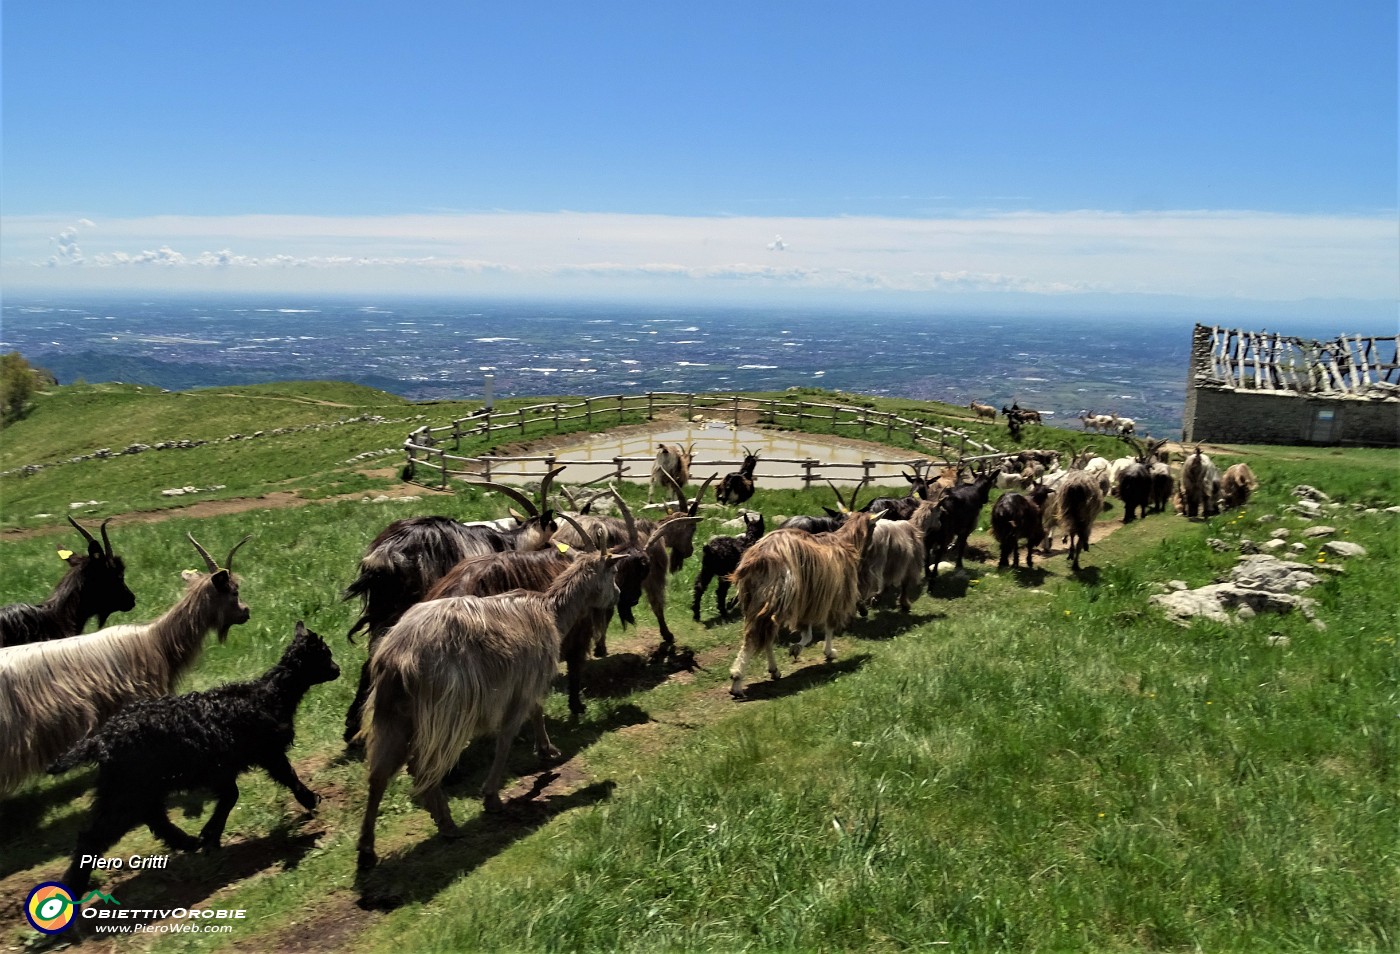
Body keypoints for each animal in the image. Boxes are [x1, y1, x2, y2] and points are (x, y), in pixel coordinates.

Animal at [51, 621, 338, 902]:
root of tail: (102, 738)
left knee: (153, 818)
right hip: (127, 790)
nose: (338, 669)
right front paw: (310, 799)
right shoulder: (265, 753)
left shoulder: (222, 768)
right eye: (326, 655)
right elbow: (284, 777)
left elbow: (230, 797)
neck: (268, 696)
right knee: (94, 836)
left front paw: (210, 836)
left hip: (132, 787)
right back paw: (73, 885)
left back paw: (187, 842)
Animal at [352, 532, 621, 868]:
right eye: (613, 571)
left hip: (391, 712)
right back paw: (446, 822)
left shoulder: (524, 682)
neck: (549, 611)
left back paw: (367, 849)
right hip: (444, 711)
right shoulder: (522, 682)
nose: (618, 595)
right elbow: (507, 738)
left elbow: (536, 711)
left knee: (378, 775)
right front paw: (492, 796)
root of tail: (397, 658)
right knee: (421, 765)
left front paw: (547, 751)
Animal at [728, 509, 879, 694]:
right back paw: (737, 681)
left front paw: (798, 648)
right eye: (874, 526)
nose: (872, 550)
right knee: (755, 637)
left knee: (765, 635)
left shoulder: (809, 600)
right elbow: (824, 628)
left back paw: (773, 670)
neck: (844, 542)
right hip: (776, 597)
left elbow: (809, 632)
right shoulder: (832, 597)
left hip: (758, 600)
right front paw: (825, 651)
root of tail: (758, 558)